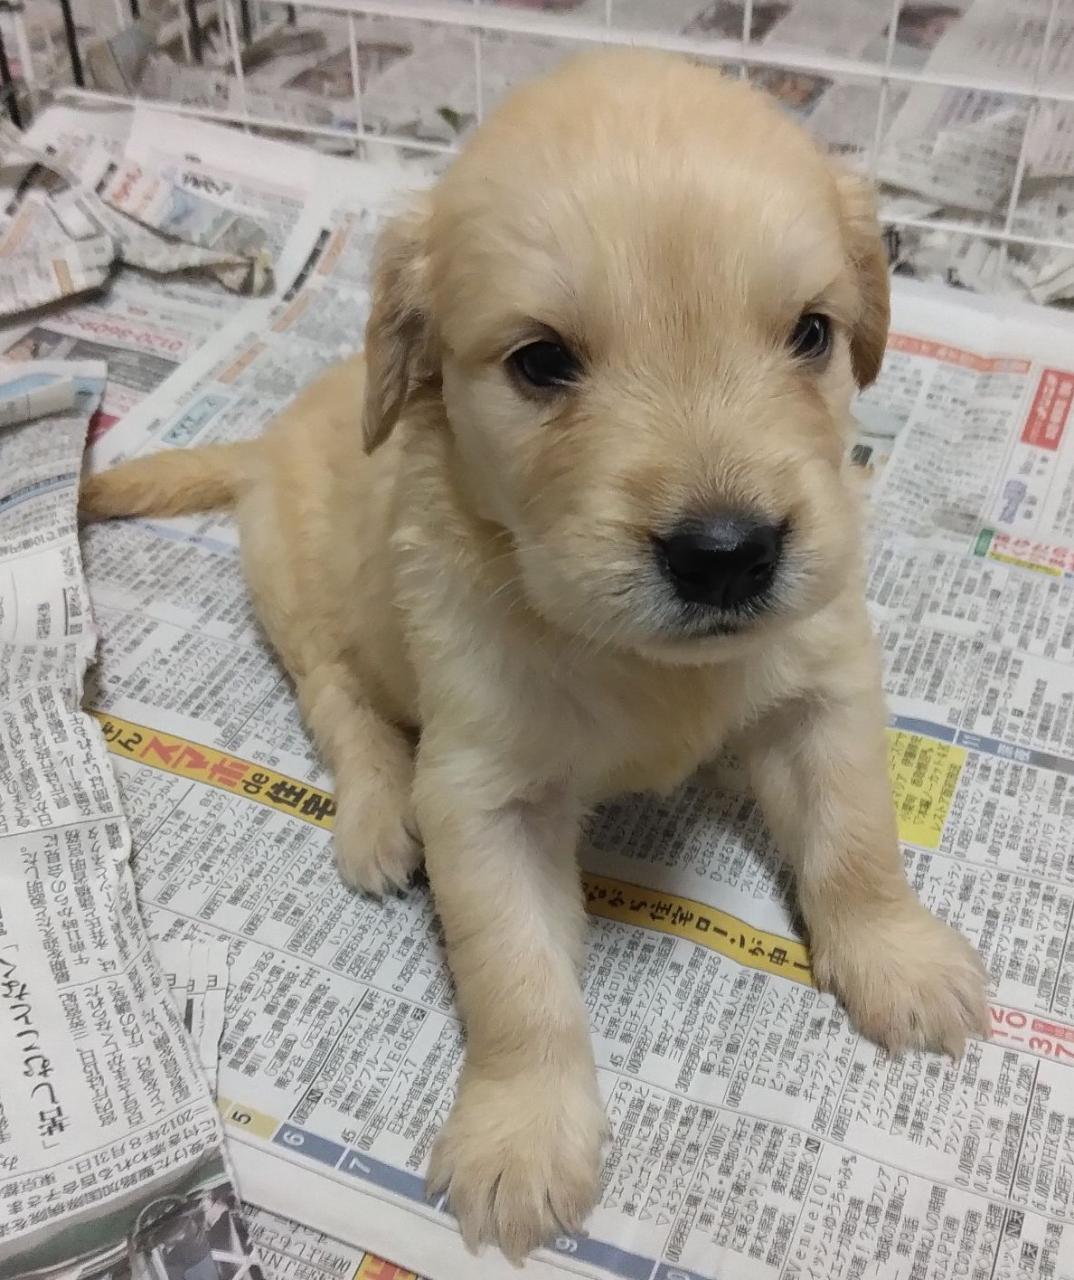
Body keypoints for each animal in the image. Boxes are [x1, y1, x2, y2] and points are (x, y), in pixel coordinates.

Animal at [81, 49, 989, 1261]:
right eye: (542, 361)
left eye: (812, 333)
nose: (727, 555)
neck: (632, 655)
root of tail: (264, 436)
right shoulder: (483, 789)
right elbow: (514, 978)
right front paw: (521, 1134)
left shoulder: (825, 686)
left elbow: (856, 839)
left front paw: (901, 958)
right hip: (296, 586)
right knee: (339, 702)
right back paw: (377, 818)